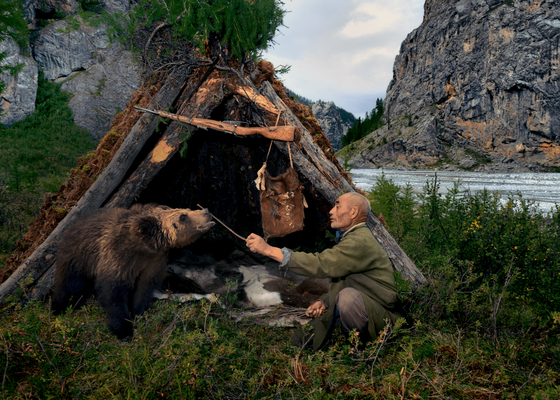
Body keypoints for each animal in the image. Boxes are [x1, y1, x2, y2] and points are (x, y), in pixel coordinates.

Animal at [52, 205, 214, 340]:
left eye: (188, 209)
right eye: (183, 216)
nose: (206, 211)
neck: (143, 248)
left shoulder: (153, 263)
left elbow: (143, 290)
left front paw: (138, 314)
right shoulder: (119, 259)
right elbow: (113, 293)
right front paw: (124, 330)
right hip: (78, 258)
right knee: (70, 285)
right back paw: (59, 307)